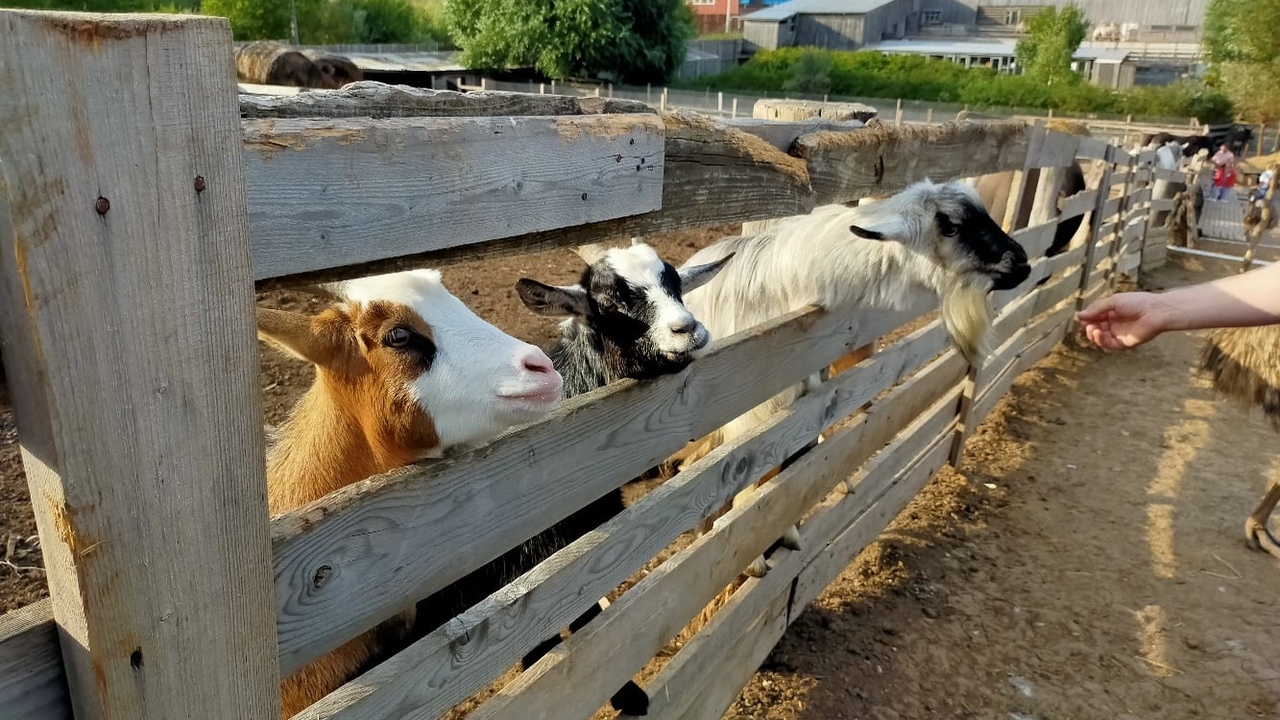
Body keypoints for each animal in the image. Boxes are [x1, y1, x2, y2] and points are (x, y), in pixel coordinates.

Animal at [680, 180, 1029, 576]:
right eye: (951, 227)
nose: (1022, 261)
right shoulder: (754, 418)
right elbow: (752, 485)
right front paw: (751, 561)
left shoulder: (801, 403)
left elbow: (791, 468)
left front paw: (786, 534)